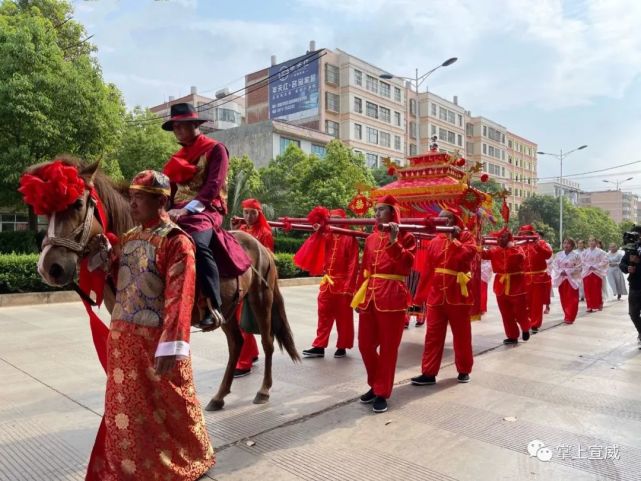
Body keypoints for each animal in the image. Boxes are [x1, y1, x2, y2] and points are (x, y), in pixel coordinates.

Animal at [28, 157, 300, 408]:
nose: (49, 267)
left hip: (261, 298)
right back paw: (219, 396)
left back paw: (263, 390)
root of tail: (259, 245)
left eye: (77, 203)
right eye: (46, 212)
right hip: (229, 307)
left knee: (267, 342)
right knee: (236, 343)